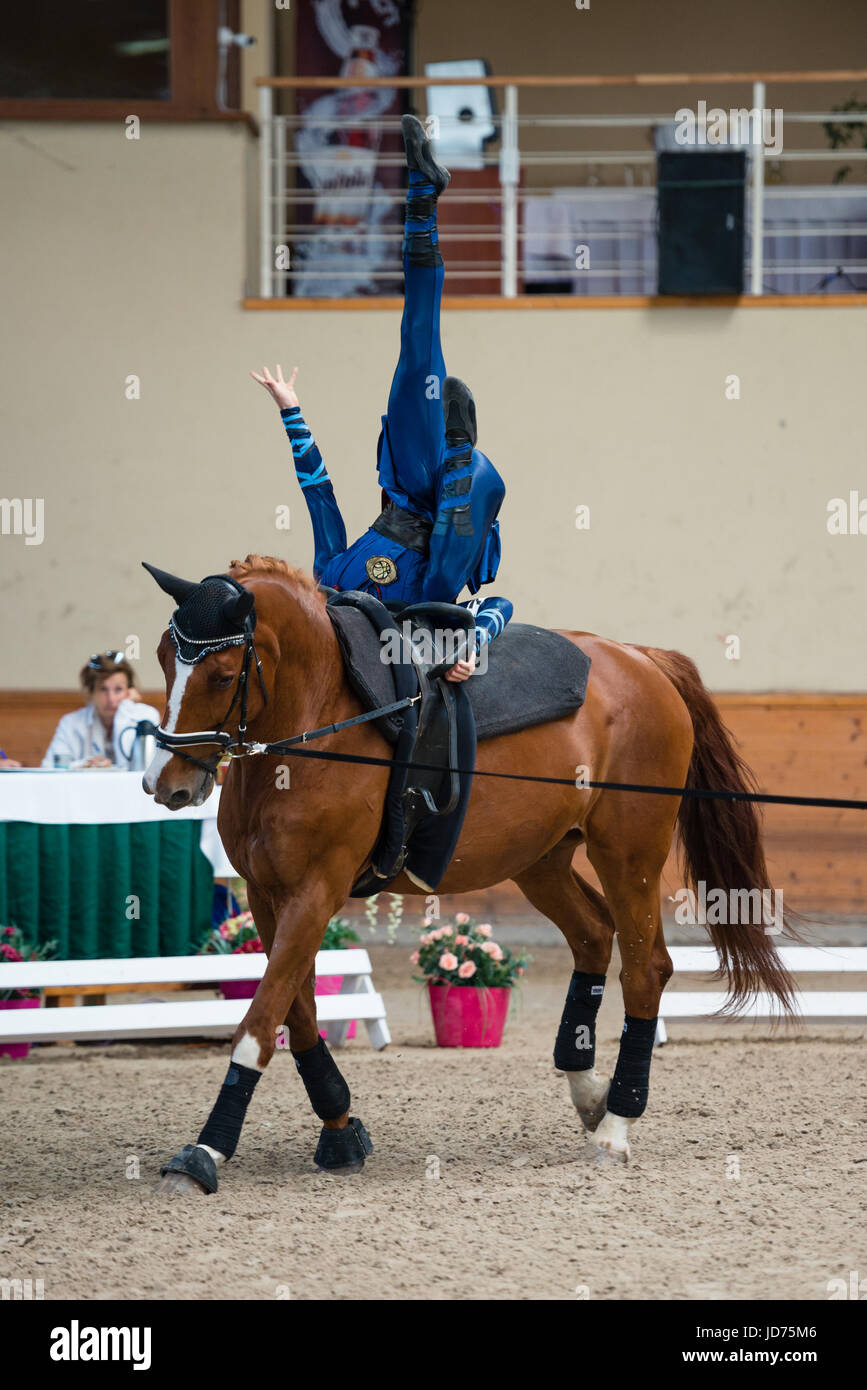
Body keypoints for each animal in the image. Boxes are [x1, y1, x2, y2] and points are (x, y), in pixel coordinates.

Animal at [143, 556, 794, 1195]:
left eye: (222, 675)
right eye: (162, 657)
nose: (164, 784)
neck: (318, 722)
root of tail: (642, 658)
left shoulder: (317, 890)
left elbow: (259, 1022)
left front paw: (204, 1151)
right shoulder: (267, 893)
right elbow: (295, 1013)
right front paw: (341, 1131)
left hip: (628, 852)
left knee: (646, 968)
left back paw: (616, 1125)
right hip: (540, 859)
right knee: (592, 934)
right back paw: (588, 1091)